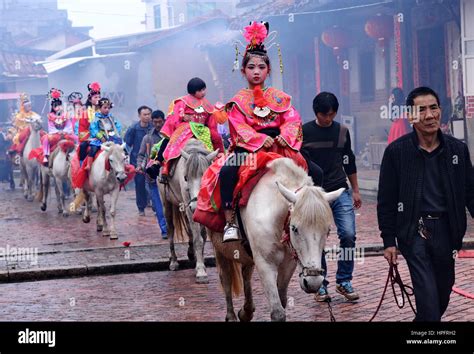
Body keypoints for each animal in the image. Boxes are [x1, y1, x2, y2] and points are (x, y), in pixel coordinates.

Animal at [159, 138, 218, 282]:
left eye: (207, 176)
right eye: (186, 178)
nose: (196, 206)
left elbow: (202, 236)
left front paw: (198, 260)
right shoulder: (189, 207)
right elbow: (198, 239)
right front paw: (201, 271)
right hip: (167, 204)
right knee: (171, 229)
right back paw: (173, 261)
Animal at [208, 158, 344, 320]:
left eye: (327, 230)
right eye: (294, 228)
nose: (313, 282)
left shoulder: (288, 264)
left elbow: (282, 300)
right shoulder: (265, 263)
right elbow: (277, 312)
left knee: (246, 274)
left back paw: (246, 311)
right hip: (219, 249)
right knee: (226, 279)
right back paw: (231, 315)